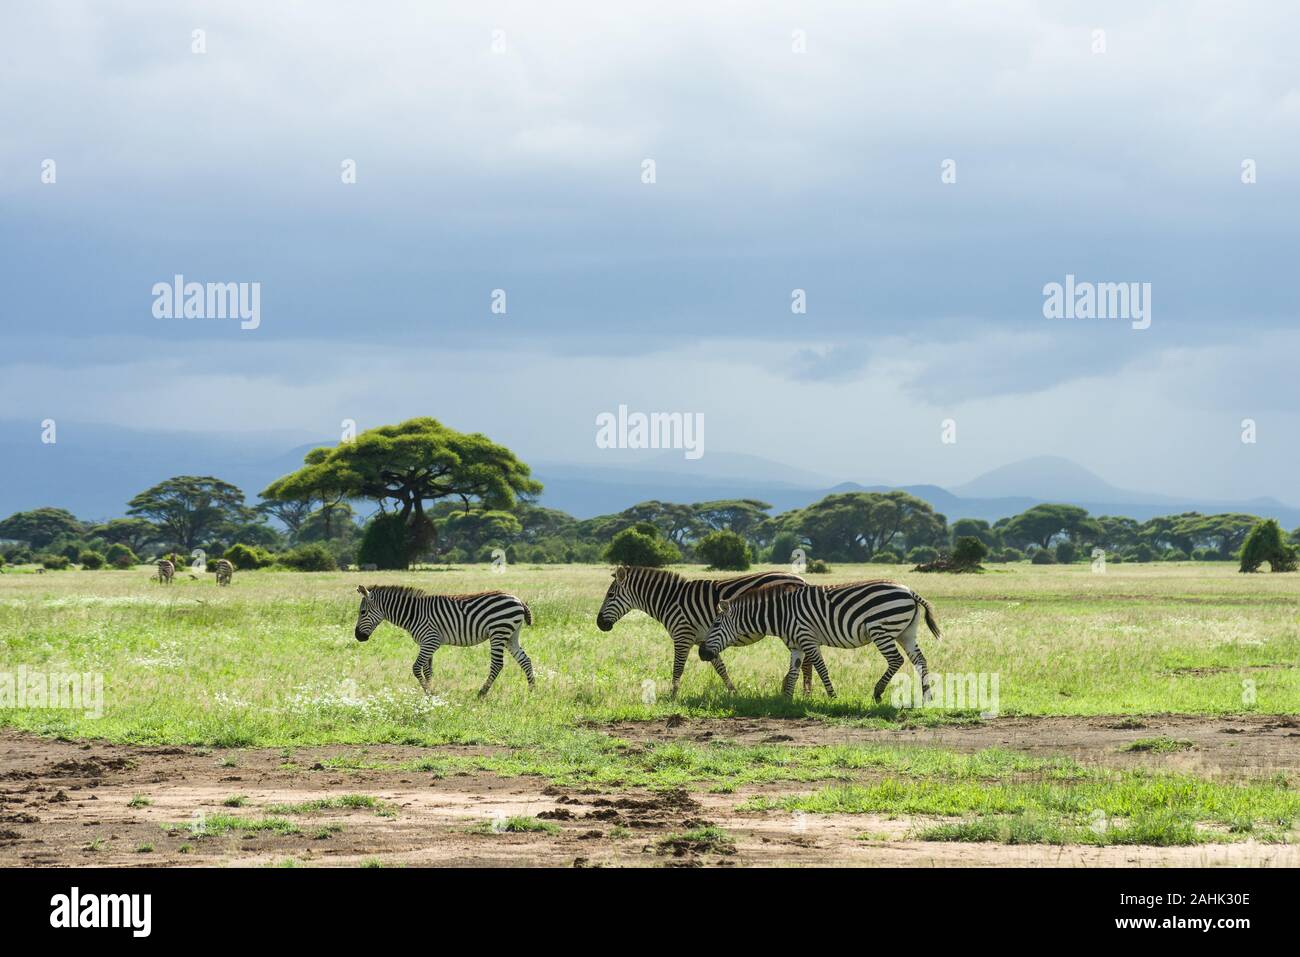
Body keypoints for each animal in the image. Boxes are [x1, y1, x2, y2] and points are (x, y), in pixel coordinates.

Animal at [352, 585, 535, 697]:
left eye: (362, 612)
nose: (358, 636)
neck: (413, 614)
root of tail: (518, 600)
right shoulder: (427, 644)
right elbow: (428, 670)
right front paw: (432, 692)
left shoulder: (430, 641)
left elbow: (416, 668)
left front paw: (429, 692)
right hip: (511, 635)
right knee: (525, 660)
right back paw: (532, 691)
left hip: (498, 632)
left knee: (497, 664)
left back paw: (481, 693)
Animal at [596, 565, 811, 699]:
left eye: (610, 595)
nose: (599, 624)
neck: (668, 600)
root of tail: (801, 579)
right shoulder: (704, 641)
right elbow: (720, 667)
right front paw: (733, 692)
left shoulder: (682, 635)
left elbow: (678, 668)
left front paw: (673, 696)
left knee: (806, 661)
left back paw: (806, 693)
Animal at [698, 579, 941, 703]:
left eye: (715, 624)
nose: (702, 653)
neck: (779, 614)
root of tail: (909, 591)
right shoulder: (796, 645)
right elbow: (794, 671)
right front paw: (786, 701)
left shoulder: (807, 639)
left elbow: (821, 668)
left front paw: (832, 697)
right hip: (905, 633)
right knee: (920, 660)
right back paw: (927, 696)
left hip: (881, 630)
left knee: (896, 660)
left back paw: (878, 692)